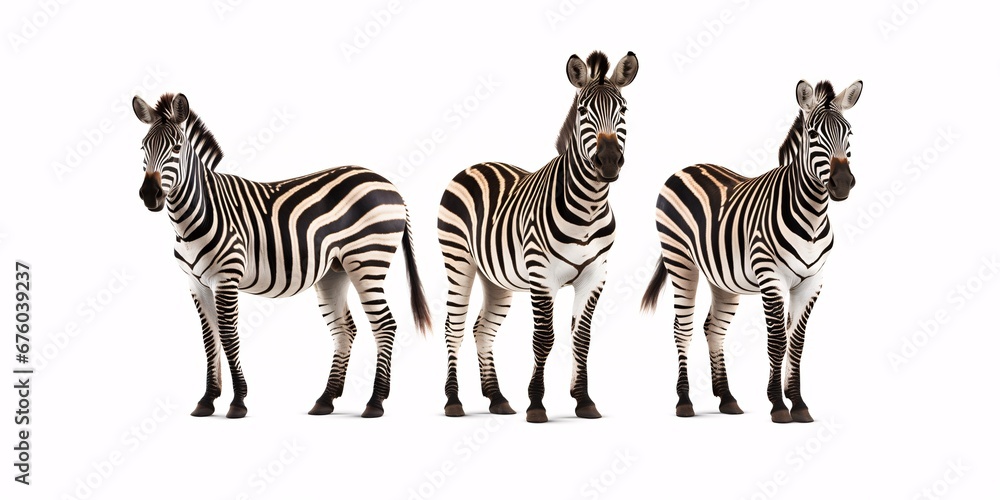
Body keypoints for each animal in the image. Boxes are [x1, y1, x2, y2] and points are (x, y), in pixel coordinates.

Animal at [132, 92, 432, 419]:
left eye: (176, 148)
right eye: (143, 148)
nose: (149, 195)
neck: (198, 212)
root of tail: (389, 185)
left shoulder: (226, 278)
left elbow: (228, 336)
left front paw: (238, 401)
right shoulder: (196, 283)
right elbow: (210, 339)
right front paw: (207, 400)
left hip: (367, 262)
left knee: (385, 325)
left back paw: (375, 402)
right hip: (335, 272)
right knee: (344, 329)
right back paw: (326, 399)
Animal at [438, 51, 638, 423]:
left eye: (623, 109)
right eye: (583, 110)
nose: (608, 162)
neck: (589, 207)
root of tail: (476, 164)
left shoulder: (595, 276)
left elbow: (582, 338)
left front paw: (584, 400)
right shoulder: (542, 277)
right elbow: (544, 339)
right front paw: (536, 404)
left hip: (496, 278)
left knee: (482, 329)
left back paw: (497, 398)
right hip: (459, 262)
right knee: (454, 328)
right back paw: (454, 401)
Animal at [641, 80, 863, 423]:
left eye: (849, 132)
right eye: (813, 134)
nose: (842, 183)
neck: (812, 215)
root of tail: (687, 167)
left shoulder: (812, 282)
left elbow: (797, 343)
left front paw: (799, 403)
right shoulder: (771, 278)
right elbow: (778, 341)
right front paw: (779, 405)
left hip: (722, 278)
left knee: (713, 329)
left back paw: (727, 398)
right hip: (680, 260)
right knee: (683, 329)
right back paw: (684, 401)